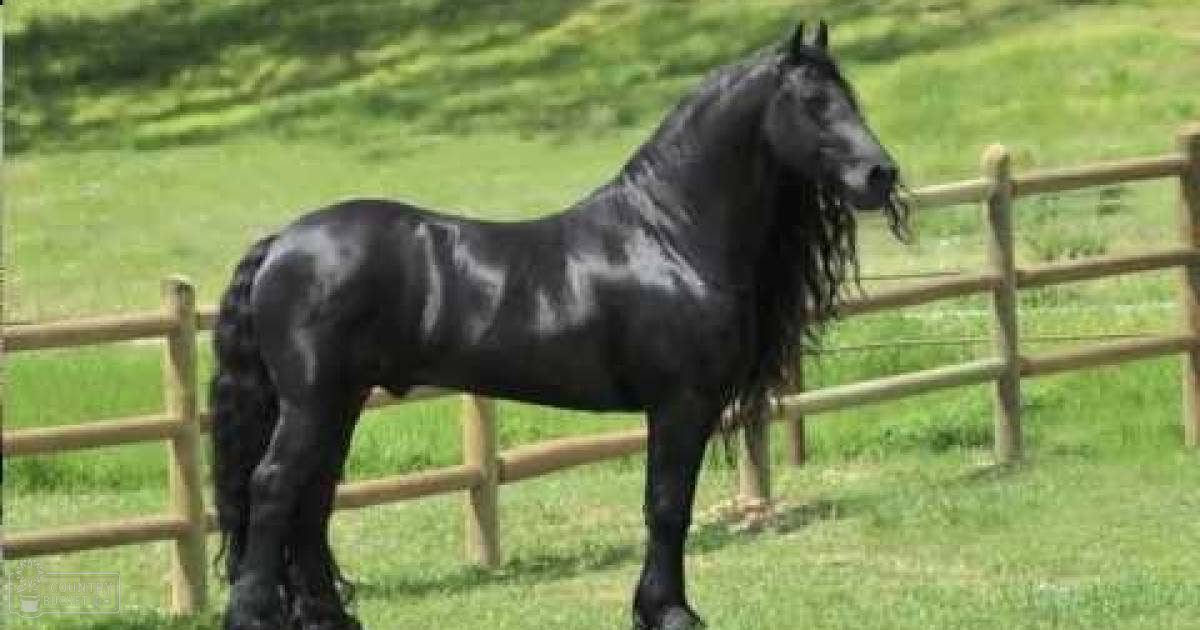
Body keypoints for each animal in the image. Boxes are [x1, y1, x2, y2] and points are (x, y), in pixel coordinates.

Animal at [210, 20, 909, 630]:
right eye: (814, 103)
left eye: (850, 98)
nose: (881, 175)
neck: (669, 234)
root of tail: (282, 242)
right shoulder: (680, 403)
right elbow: (667, 507)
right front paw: (668, 612)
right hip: (313, 399)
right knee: (274, 488)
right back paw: (251, 615)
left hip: (341, 400)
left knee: (312, 501)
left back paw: (329, 618)